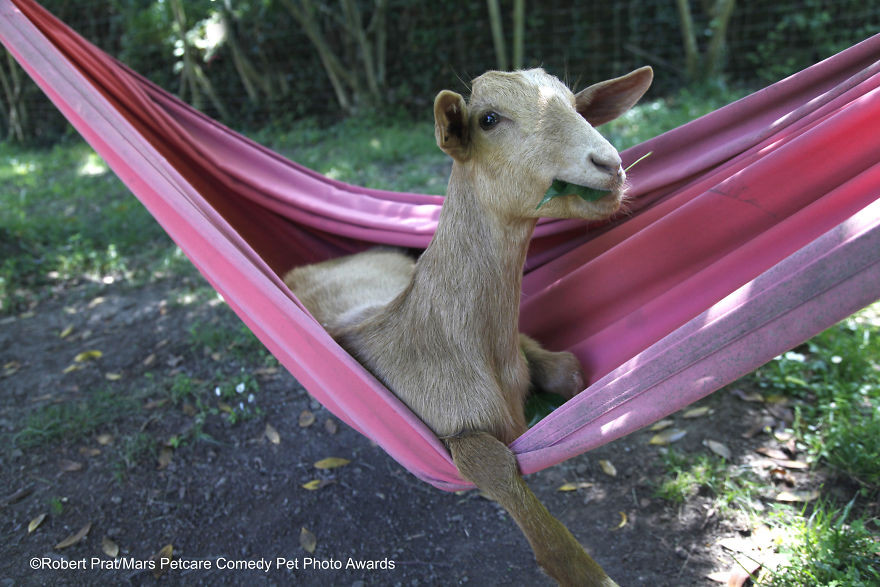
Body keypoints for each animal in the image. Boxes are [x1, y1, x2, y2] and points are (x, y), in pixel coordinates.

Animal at [286, 65, 648, 587]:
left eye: (574, 103)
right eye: (489, 118)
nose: (608, 164)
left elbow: (567, 369)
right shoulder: (447, 424)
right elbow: (490, 463)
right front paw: (586, 572)